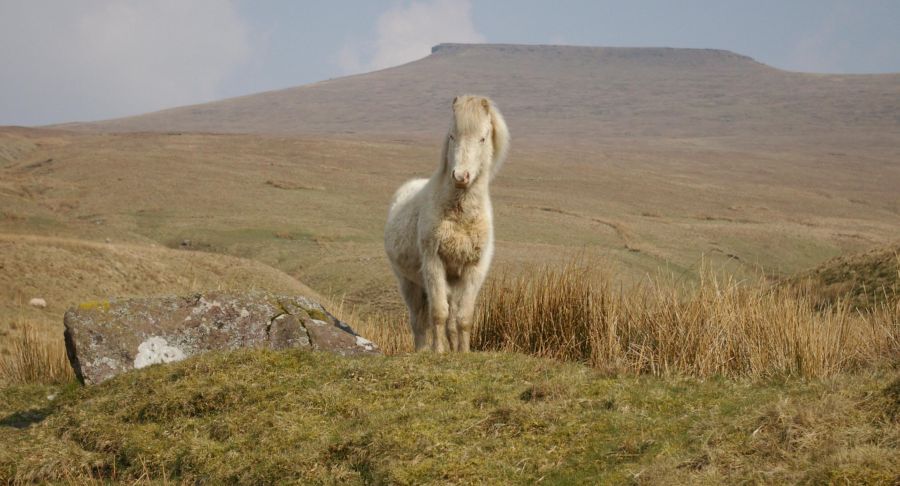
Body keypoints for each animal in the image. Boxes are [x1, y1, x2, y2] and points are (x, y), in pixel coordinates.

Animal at [384, 96, 510, 354]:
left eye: (483, 138)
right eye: (452, 135)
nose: (461, 176)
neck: (460, 217)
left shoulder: (474, 269)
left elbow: (464, 318)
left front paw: (463, 352)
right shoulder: (434, 263)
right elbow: (438, 314)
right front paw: (439, 352)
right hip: (409, 283)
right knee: (418, 321)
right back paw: (422, 350)